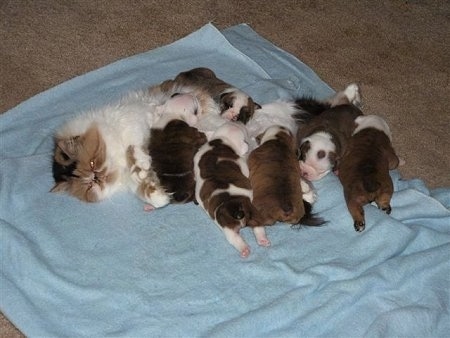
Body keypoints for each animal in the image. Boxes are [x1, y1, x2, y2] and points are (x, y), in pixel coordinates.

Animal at [193, 121, 268, 256]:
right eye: (244, 131)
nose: (238, 121)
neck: (222, 141)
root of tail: (235, 208)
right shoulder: (242, 163)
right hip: (252, 211)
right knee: (258, 227)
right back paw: (262, 240)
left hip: (226, 225)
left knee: (234, 238)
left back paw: (245, 249)